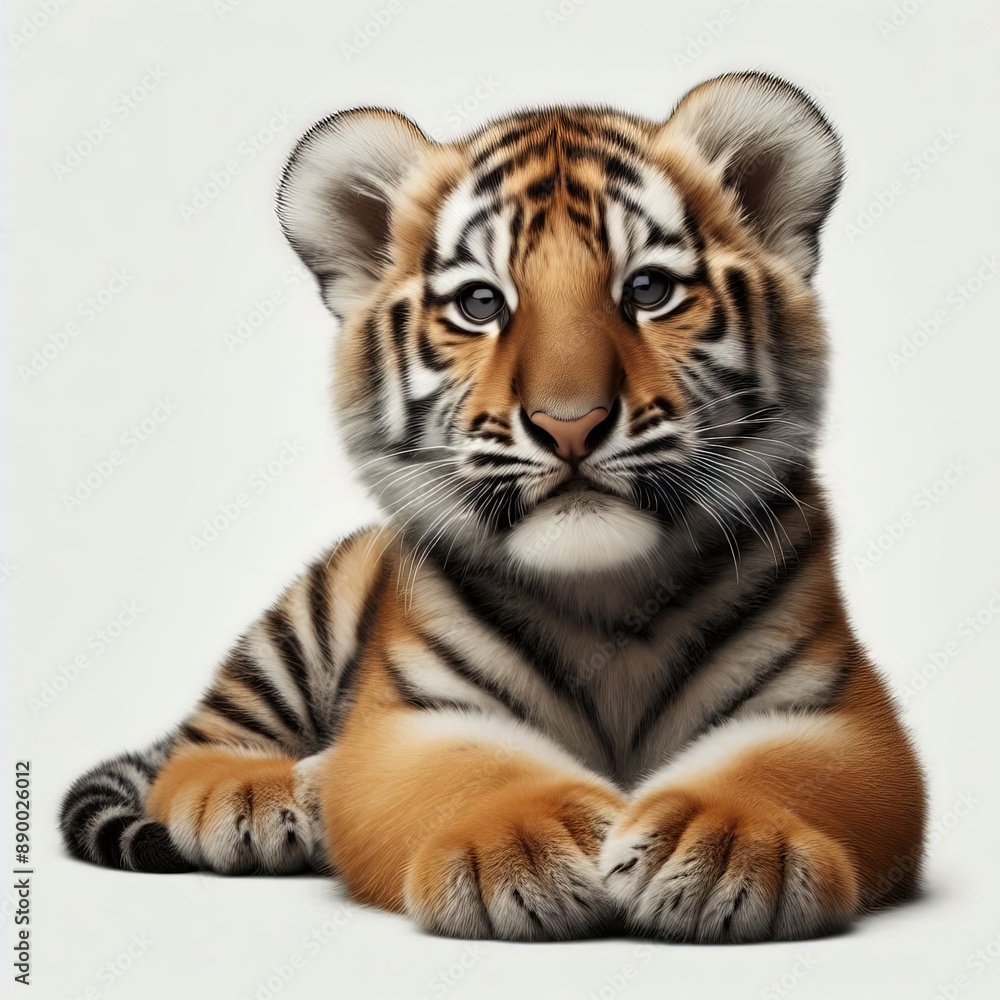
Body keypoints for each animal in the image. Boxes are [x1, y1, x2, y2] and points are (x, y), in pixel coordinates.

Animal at [60, 71, 926, 944]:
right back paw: (260, 796)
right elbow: (468, 775)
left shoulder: (833, 710)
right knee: (196, 747)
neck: (606, 594)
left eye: (648, 290)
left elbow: (788, 771)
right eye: (480, 304)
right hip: (305, 619)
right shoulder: (416, 717)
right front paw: (520, 849)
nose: (569, 422)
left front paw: (722, 846)